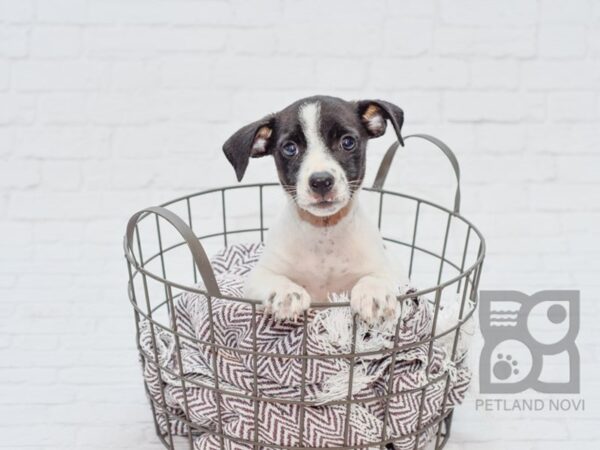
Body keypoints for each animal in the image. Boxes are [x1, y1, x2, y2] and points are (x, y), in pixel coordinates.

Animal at [225, 95, 408, 324]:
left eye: (347, 142)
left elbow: (377, 276)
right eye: (290, 148)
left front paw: (374, 292)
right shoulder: (259, 274)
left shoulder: (388, 269)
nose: (321, 181)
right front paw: (286, 293)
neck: (323, 233)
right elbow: (274, 279)